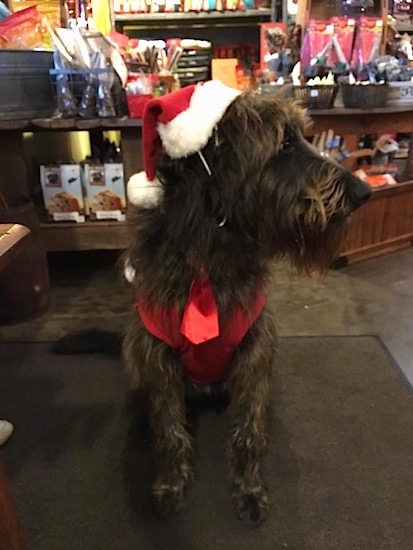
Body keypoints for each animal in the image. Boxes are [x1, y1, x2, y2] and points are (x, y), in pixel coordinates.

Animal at [119, 81, 370, 528]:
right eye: (284, 143)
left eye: (303, 136)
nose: (364, 193)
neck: (212, 258)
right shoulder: (155, 351)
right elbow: (168, 427)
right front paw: (171, 485)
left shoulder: (255, 349)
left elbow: (249, 430)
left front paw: (249, 490)